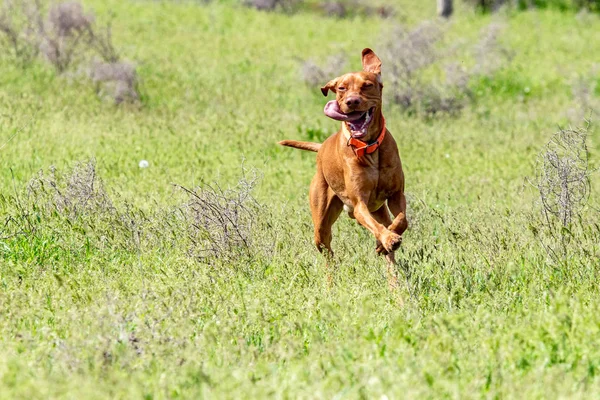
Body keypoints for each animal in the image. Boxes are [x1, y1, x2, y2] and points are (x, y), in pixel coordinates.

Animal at [280, 48, 408, 270]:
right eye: (341, 88)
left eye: (367, 85)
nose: (352, 101)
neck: (369, 146)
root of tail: (322, 147)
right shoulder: (359, 205)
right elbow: (375, 224)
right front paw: (389, 238)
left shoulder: (396, 194)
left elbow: (401, 221)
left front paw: (387, 239)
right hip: (321, 223)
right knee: (328, 253)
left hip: (378, 209)